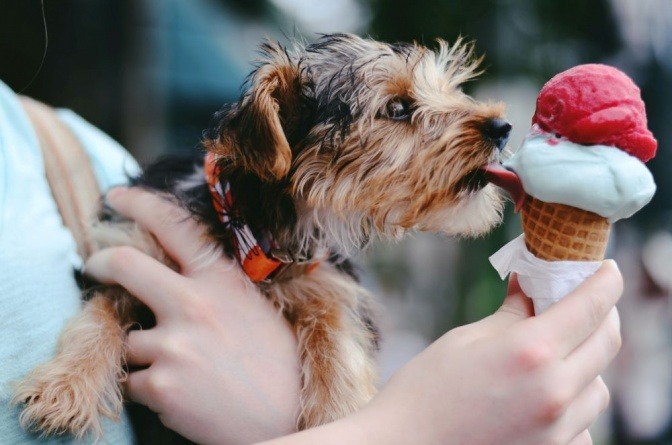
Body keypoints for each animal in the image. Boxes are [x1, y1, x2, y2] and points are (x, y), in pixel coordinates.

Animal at [11, 33, 510, 438]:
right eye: (399, 108)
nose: (502, 127)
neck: (252, 228)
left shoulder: (326, 280)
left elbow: (337, 334)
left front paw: (338, 410)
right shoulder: (129, 249)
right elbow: (99, 314)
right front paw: (66, 385)